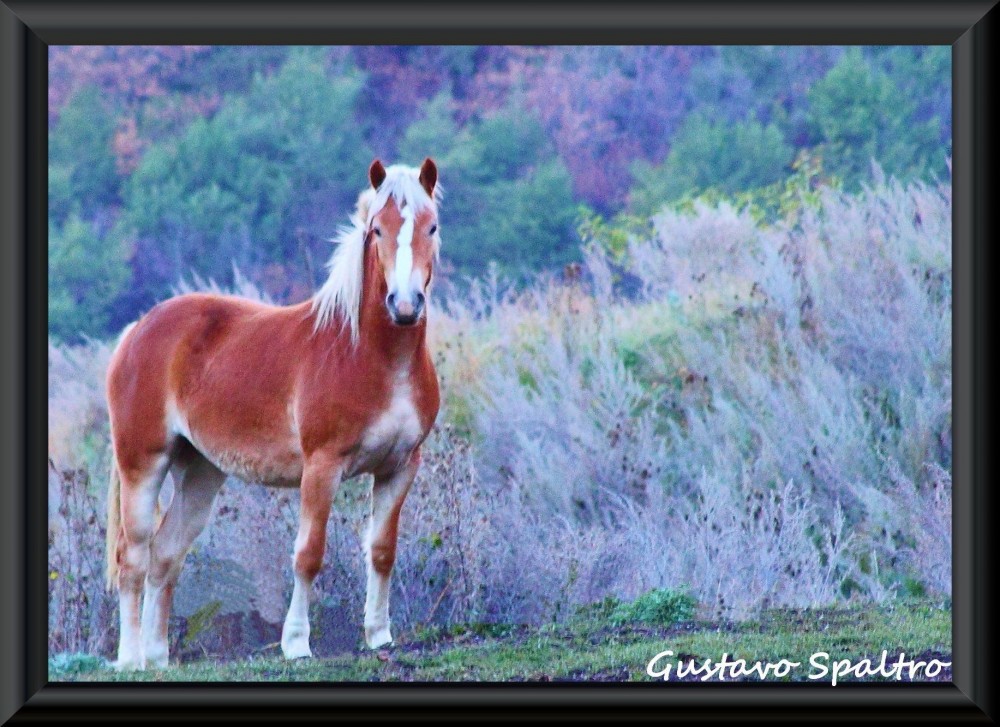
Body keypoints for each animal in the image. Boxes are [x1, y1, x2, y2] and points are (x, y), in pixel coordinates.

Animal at [104, 159, 442, 672]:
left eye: (431, 227)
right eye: (377, 229)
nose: (404, 306)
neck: (374, 357)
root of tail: (137, 329)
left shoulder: (400, 467)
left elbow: (382, 551)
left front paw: (380, 636)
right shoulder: (322, 467)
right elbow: (308, 554)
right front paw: (297, 643)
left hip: (200, 473)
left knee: (165, 555)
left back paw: (158, 656)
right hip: (142, 464)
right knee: (133, 556)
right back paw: (130, 658)